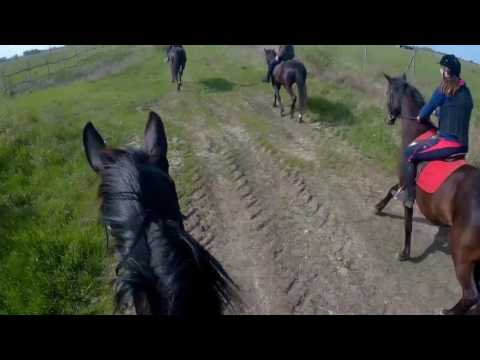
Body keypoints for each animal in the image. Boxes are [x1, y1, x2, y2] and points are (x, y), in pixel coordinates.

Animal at [376, 73, 480, 316]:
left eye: (389, 93)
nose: (389, 118)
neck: (418, 134)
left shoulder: (407, 184)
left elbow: (407, 223)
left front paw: (405, 253)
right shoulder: (404, 182)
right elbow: (391, 190)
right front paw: (378, 207)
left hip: (462, 253)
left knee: (470, 295)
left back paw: (449, 312)